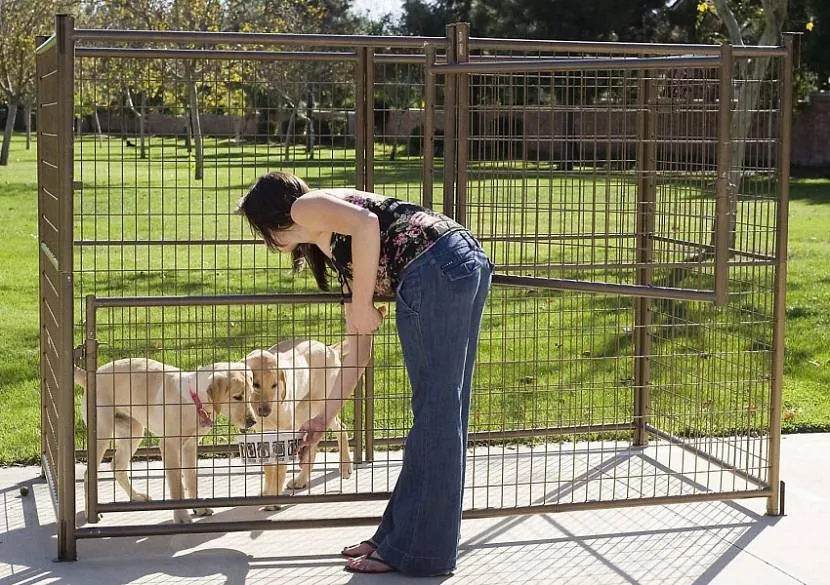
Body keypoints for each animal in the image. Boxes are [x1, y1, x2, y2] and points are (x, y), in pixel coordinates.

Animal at [75, 358, 256, 524]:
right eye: (237, 397)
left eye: (250, 395)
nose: (252, 422)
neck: (194, 400)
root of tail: (90, 375)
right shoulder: (169, 446)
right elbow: (176, 485)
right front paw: (181, 517)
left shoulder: (190, 446)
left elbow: (191, 479)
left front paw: (198, 508)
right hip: (102, 434)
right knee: (88, 474)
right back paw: (90, 513)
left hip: (134, 432)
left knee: (117, 466)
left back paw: (136, 496)